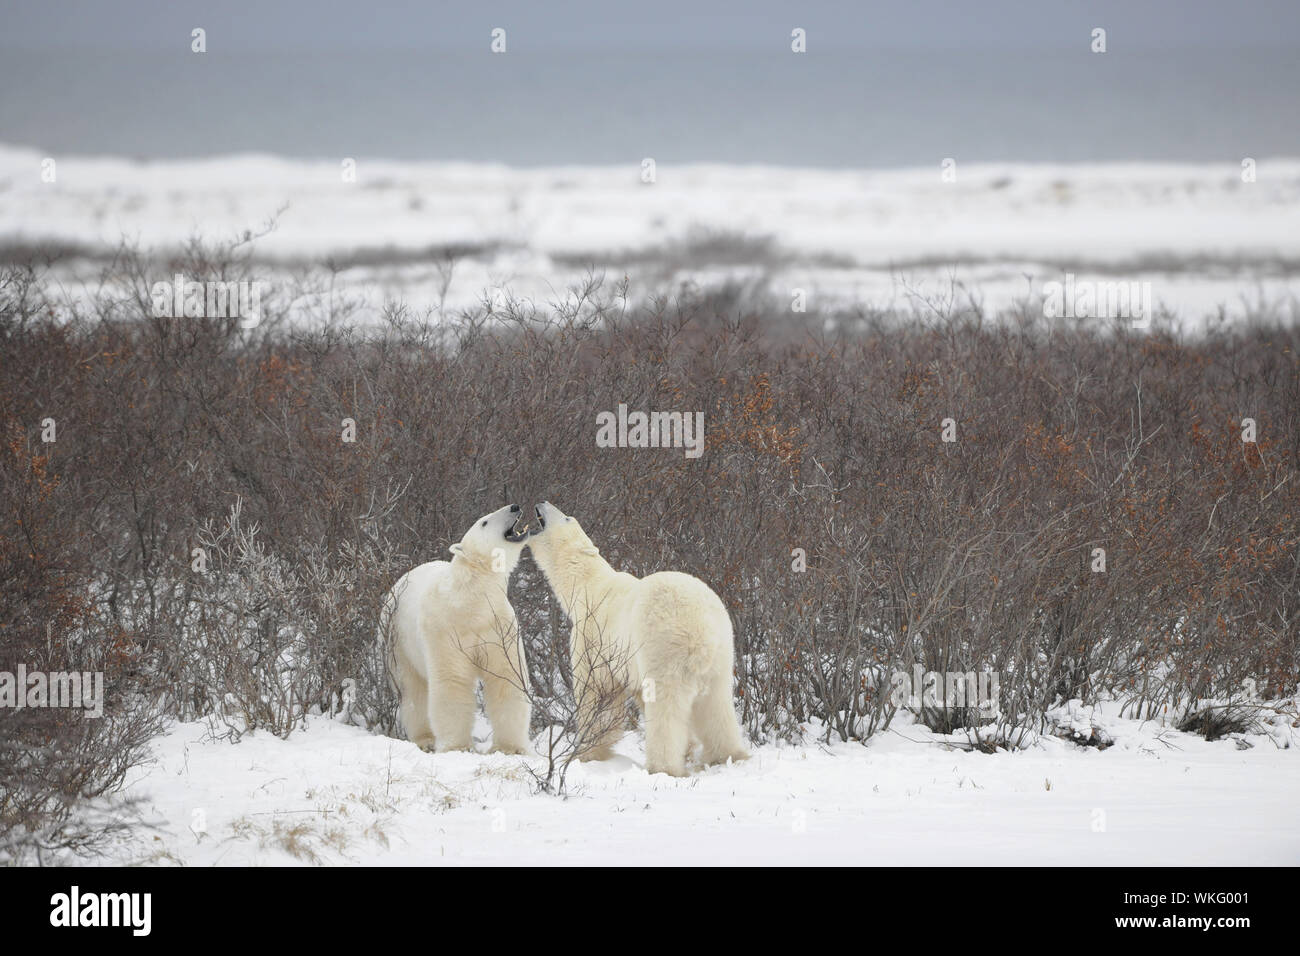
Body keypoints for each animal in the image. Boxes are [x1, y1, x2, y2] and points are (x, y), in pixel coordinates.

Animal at [379, 504, 533, 759]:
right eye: (484, 522)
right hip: (397, 640)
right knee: (413, 690)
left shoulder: (498, 626)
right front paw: (458, 747)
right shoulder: (445, 628)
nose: (514, 506)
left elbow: (506, 678)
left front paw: (510, 748)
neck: (469, 600)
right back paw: (425, 740)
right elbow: (452, 680)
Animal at [525, 502, 754, 780]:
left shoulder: (593, 638)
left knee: (666, 708)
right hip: (722, 652)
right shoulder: (629, 663)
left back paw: (662, 767)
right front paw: (689, 750)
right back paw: (728, 755)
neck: (587, 585)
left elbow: (598, 693)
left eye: (567, 517)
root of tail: (702, 630)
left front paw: (587, 753)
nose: (542, 503)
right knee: (716, 705)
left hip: (664, 646)